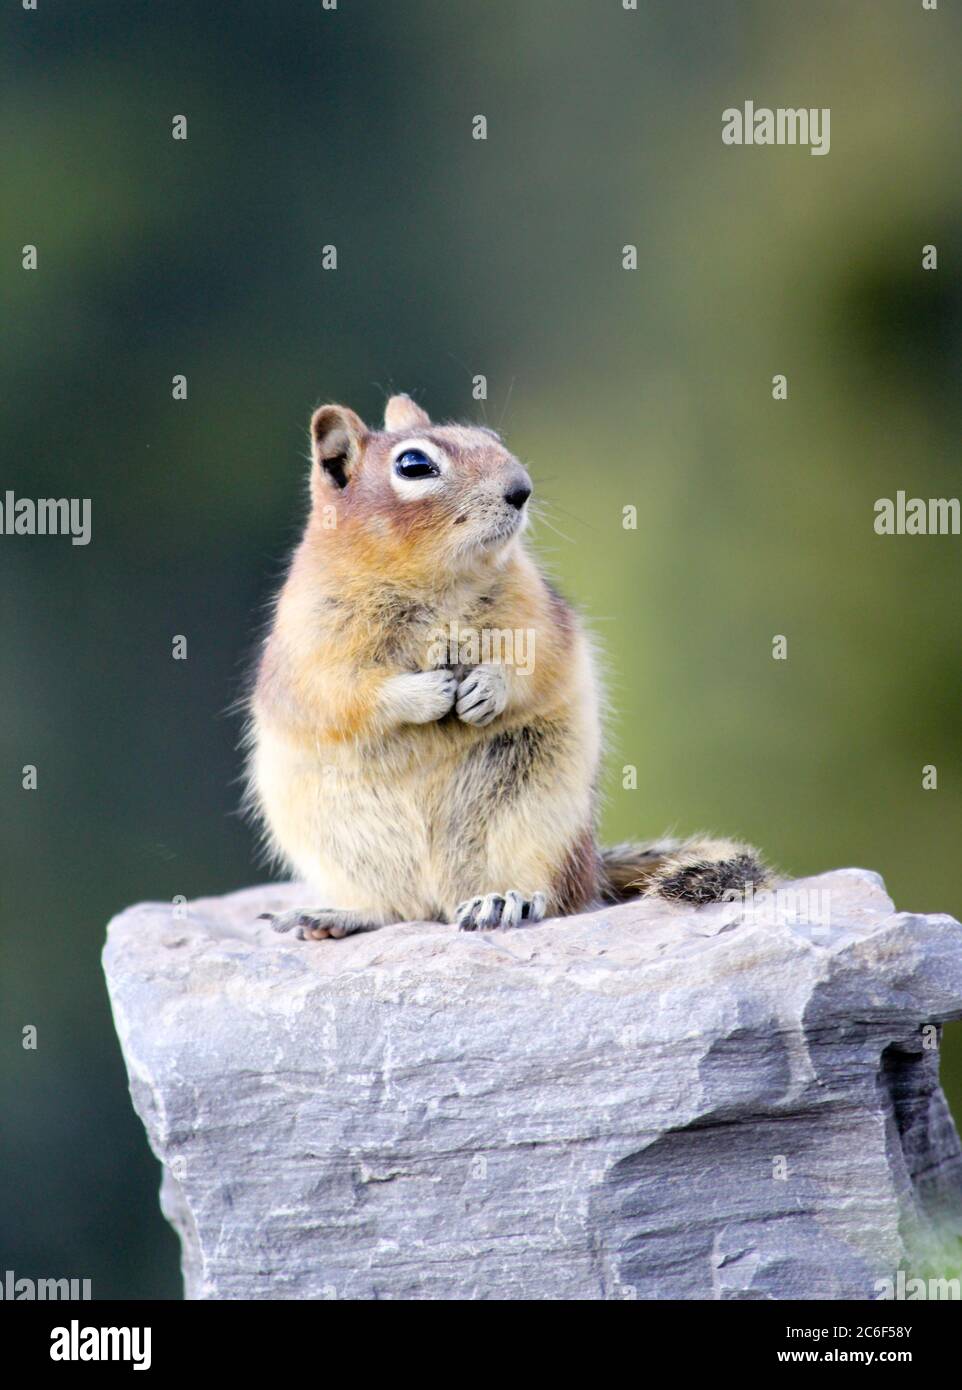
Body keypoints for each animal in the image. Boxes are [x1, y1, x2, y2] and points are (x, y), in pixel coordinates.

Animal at [246, 391, 767, 939]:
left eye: (491, 438)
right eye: (414, 465)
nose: (521, 489)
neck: (435, 580)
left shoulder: (536, 612)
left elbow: (537, 661)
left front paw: (487, 688)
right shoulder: (311, 644)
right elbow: (343, 694)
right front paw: (426, 693)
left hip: (536, 823)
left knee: (547, 894)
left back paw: (499, 901)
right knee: (397, 909)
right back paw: (336, 914)